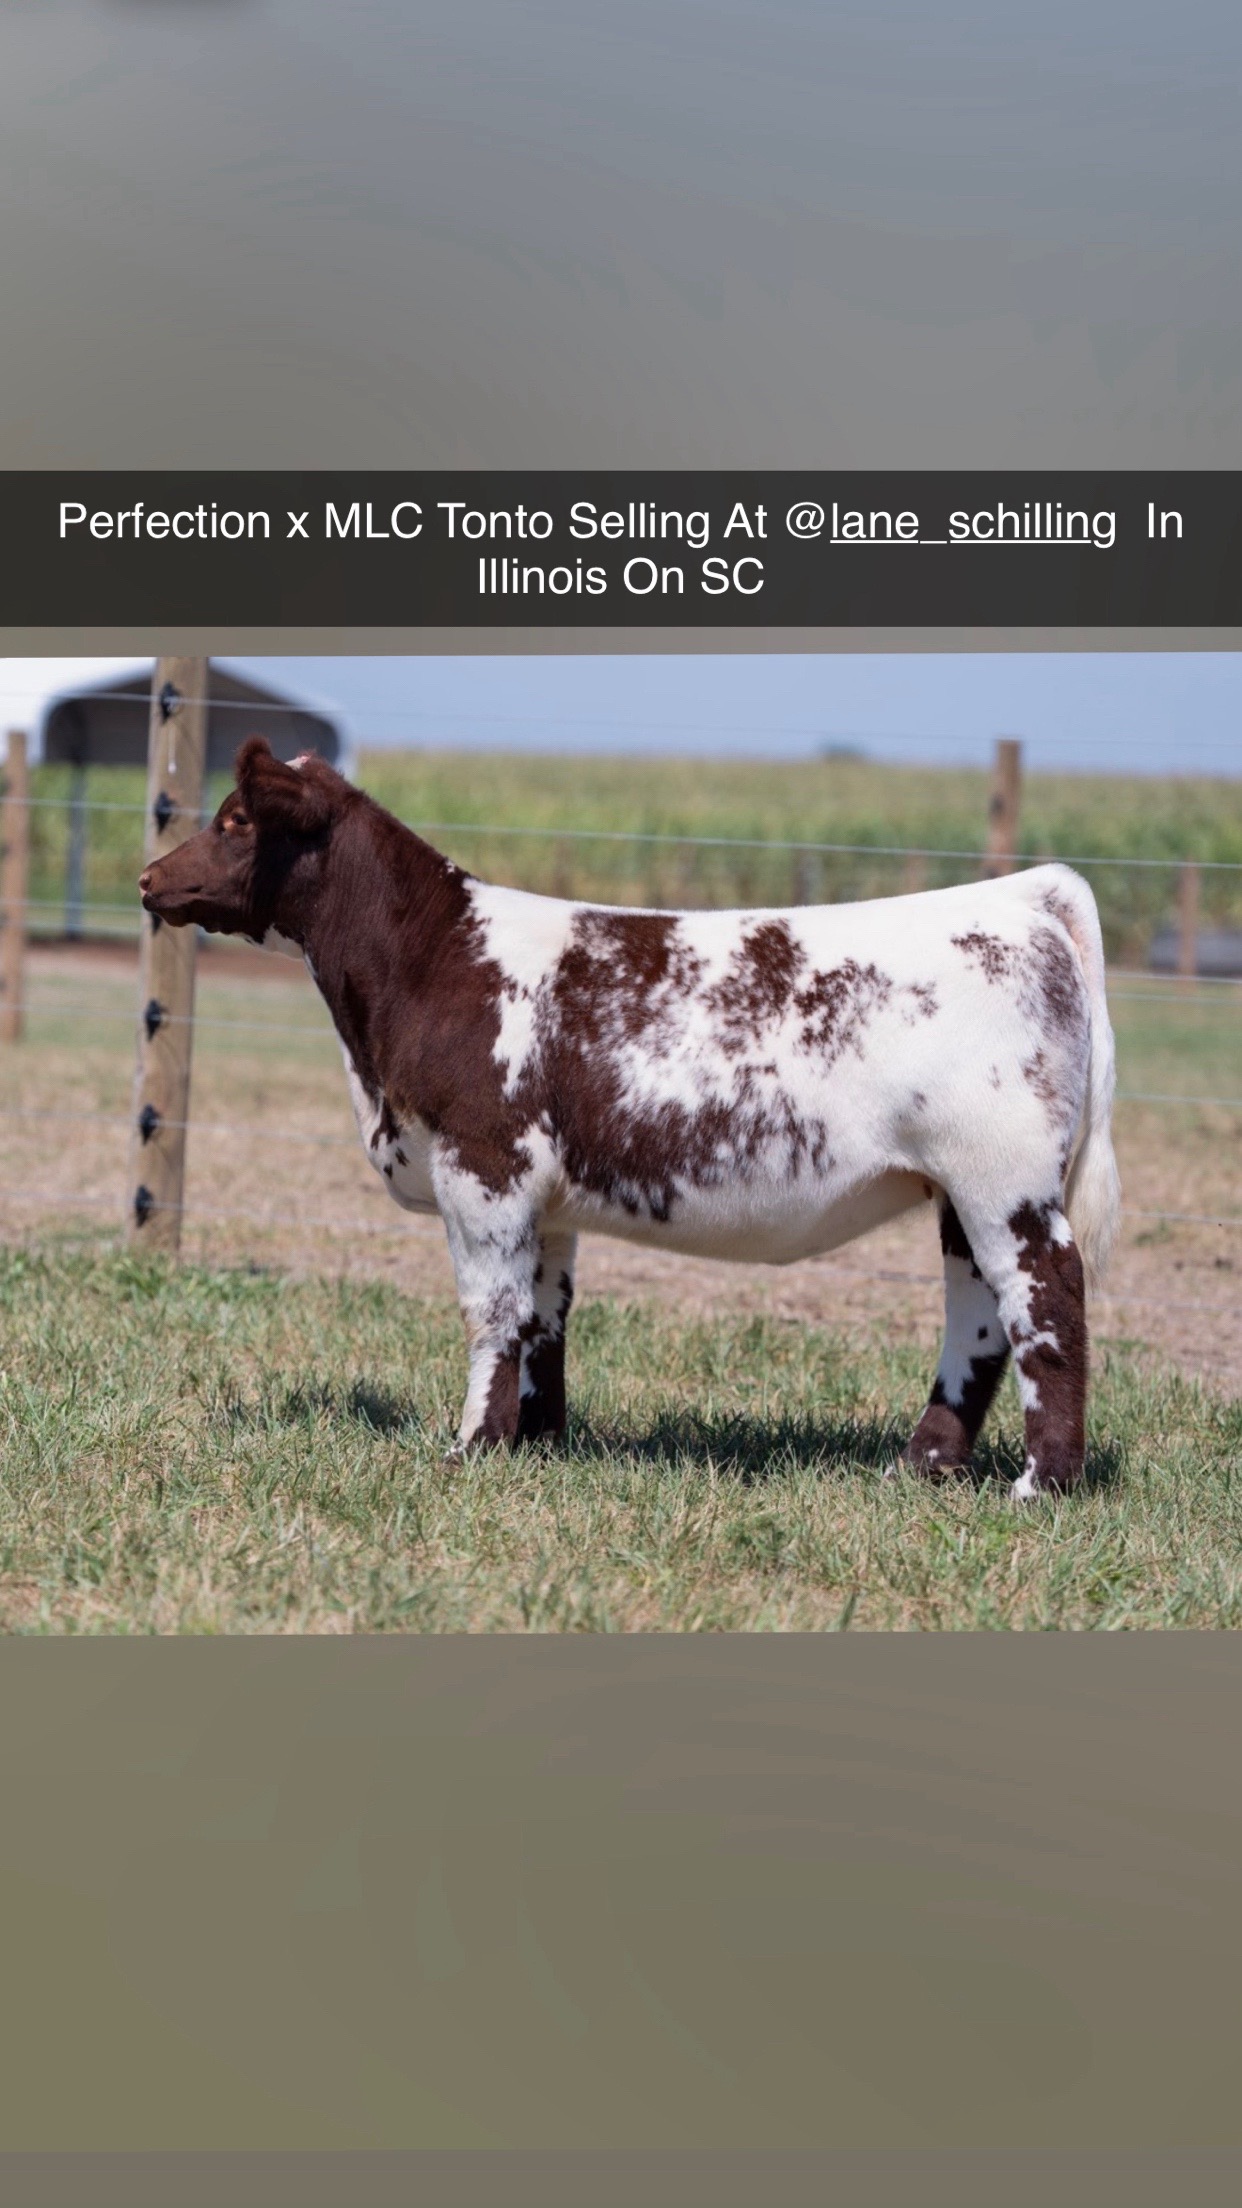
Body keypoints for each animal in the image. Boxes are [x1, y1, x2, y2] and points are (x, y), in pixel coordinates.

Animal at [139, 739, 1121, 1499]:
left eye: (236, 819)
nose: (149, 877)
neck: (431, 959)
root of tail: (1018, 898)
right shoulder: (545, 1198)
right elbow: (543, 1316)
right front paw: (534, 1443)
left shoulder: (482, 1164)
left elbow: (491, 1311)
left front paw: (471, 1448)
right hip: (960, 1188)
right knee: (977, 1317)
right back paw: (918, 1468)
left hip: (1003, 1178)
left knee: (1047, 1297)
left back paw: (1042, 1485)